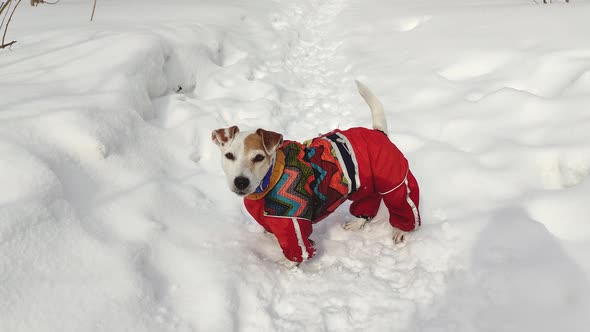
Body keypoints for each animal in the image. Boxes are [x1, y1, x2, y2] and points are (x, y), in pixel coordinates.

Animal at [213, 81, 420, 268]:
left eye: (258, 157)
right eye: (229, 156)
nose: (240, 181)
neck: (270, 179)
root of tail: (379, 132)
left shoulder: (294, 222)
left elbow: (298, 249)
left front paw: (288, 264)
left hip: (394, 183)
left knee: (403, 203)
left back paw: (402, 230)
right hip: (365, 185)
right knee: (369, 202)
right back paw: (357, 223)